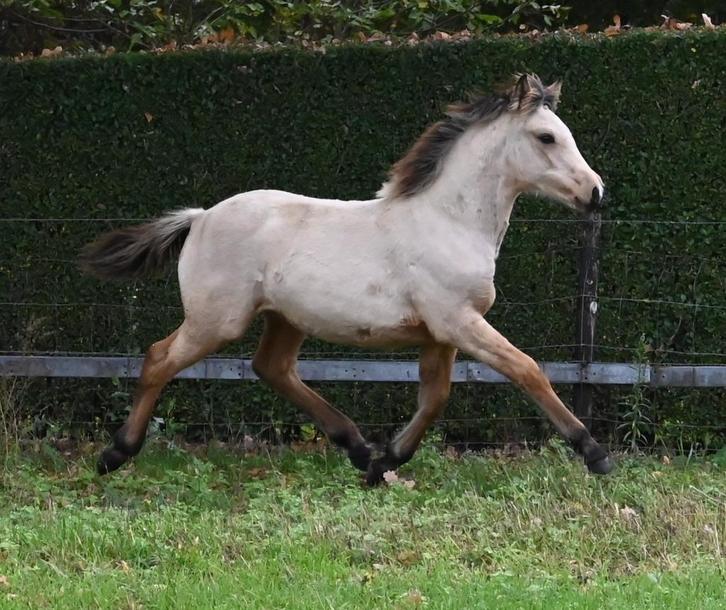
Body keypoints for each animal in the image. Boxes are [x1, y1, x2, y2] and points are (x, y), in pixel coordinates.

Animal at [81, 74, 612, 484]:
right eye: (546, 137)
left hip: (284, 319)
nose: (595, 192)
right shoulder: (458, 321)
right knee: (158, 358)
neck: (449, 221)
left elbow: (435, 396)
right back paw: (114, 454)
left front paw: (385, 463)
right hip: (217, 320)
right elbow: (527, 369)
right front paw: (594, 453)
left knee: (272, 368)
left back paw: (356, 446)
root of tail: (201, 217)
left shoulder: (441, 333)